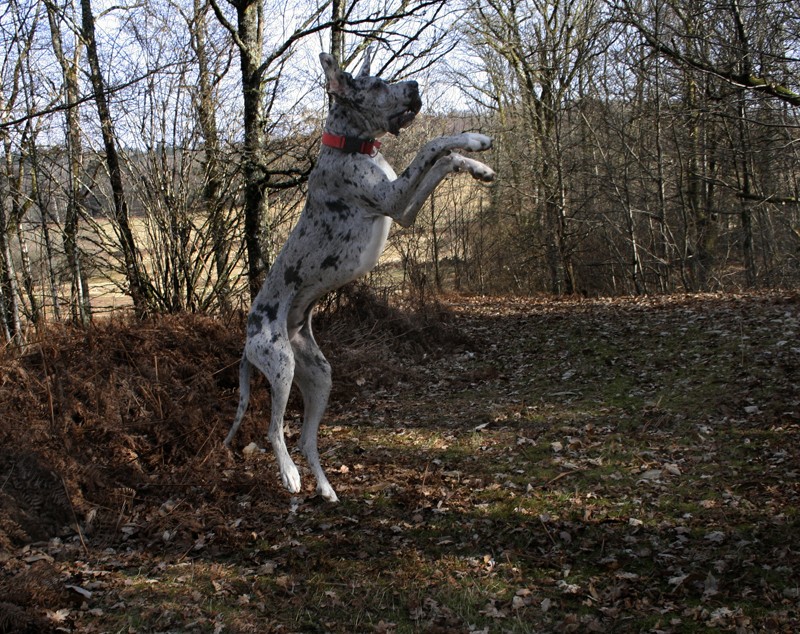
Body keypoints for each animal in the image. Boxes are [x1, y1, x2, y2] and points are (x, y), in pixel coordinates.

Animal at [223, 47, 494, 502]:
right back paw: (290, 476)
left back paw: (326, 489)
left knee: (306, 438)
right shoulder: (392, 197)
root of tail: (246, 337)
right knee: (275, 430)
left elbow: (443, 162)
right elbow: (433, 145)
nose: (415, 85)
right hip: (279, 365)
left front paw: (477, 163)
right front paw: (472, 140)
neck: (354, 148)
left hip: (319, 375)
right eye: (379, 84)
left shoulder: (402, 211)